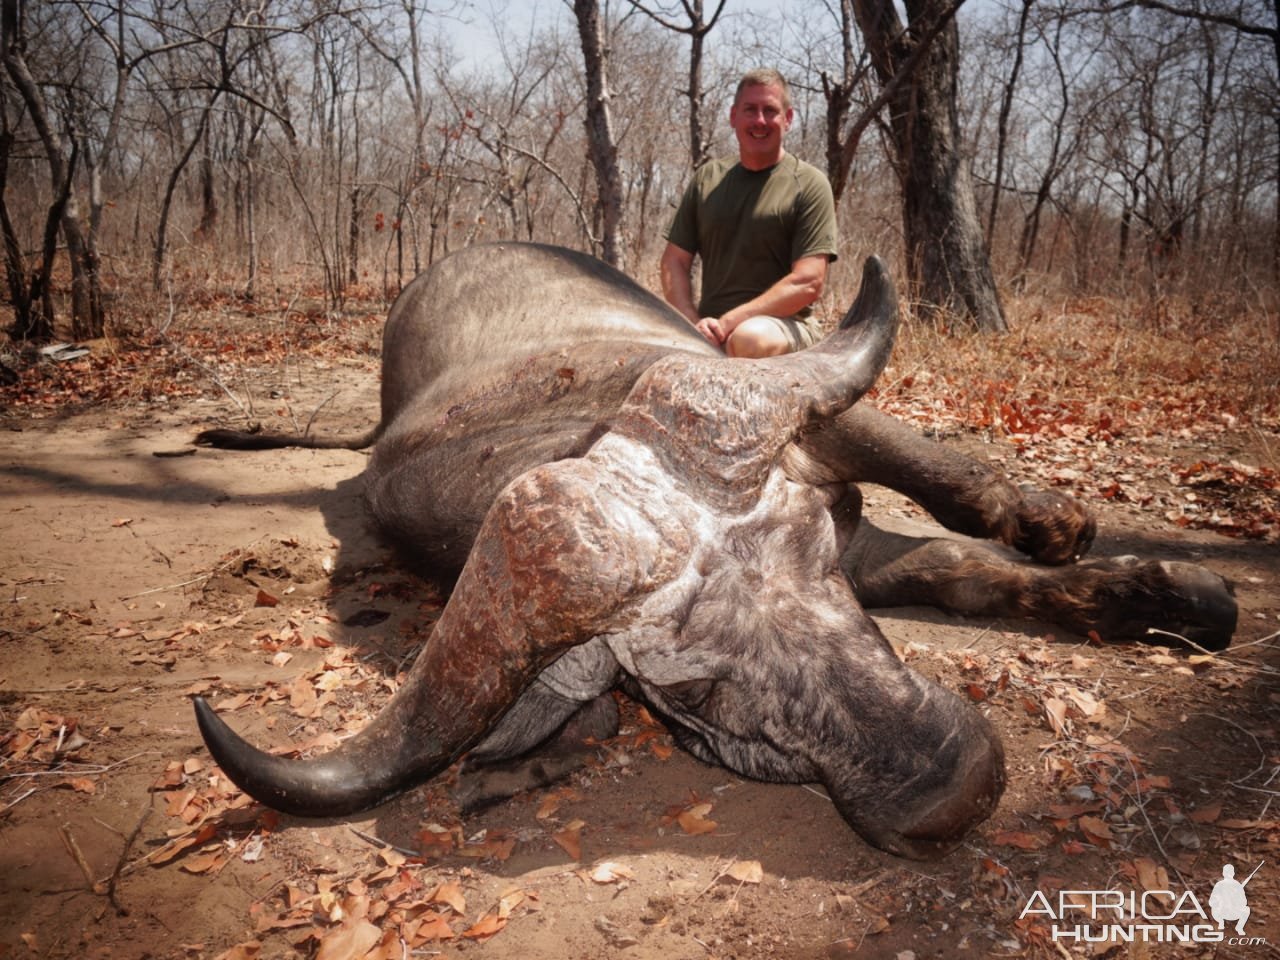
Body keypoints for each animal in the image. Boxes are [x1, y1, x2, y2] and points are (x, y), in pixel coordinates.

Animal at [194, 241, 1233, 865]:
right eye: (691, 691)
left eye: (812, 556)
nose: (957, 781)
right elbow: (951, 571)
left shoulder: (816, 430)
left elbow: (949, 499)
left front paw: (1130, 568)